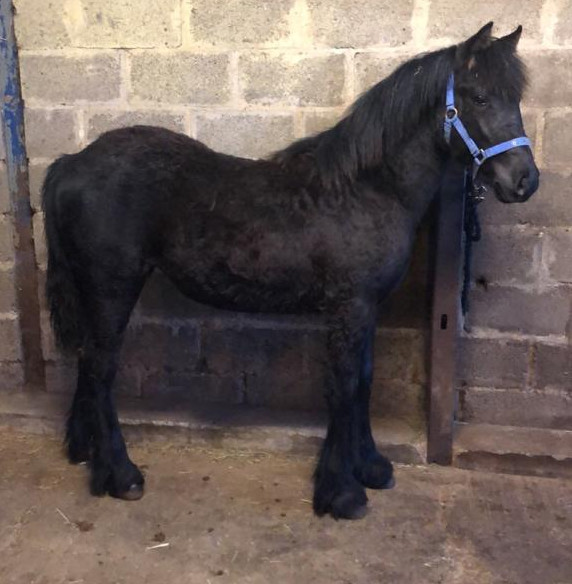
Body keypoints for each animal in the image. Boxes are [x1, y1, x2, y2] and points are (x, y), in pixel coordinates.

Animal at [43, 24, 536, 520]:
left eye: (515, 98)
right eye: (479, 97)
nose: (525, 181)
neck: (366, 188)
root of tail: (73, 162)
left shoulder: (366, 308)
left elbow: (364, 381)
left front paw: (371, 467)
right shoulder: (349, 308)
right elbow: (344, 387)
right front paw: (342, 491)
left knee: (87, 362)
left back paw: (85, 451)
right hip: (112, 287)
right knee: (101, 369)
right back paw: (120, 474)